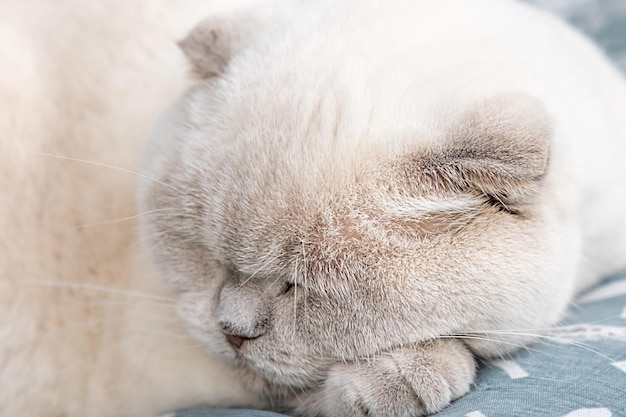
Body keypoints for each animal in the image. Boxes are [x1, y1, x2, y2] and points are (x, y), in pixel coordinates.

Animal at [3, 0, 624, 416]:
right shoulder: (149, 351)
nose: (233, 331)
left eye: (300, 286)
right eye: (205, 255)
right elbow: (306, 391)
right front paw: (411, 377)